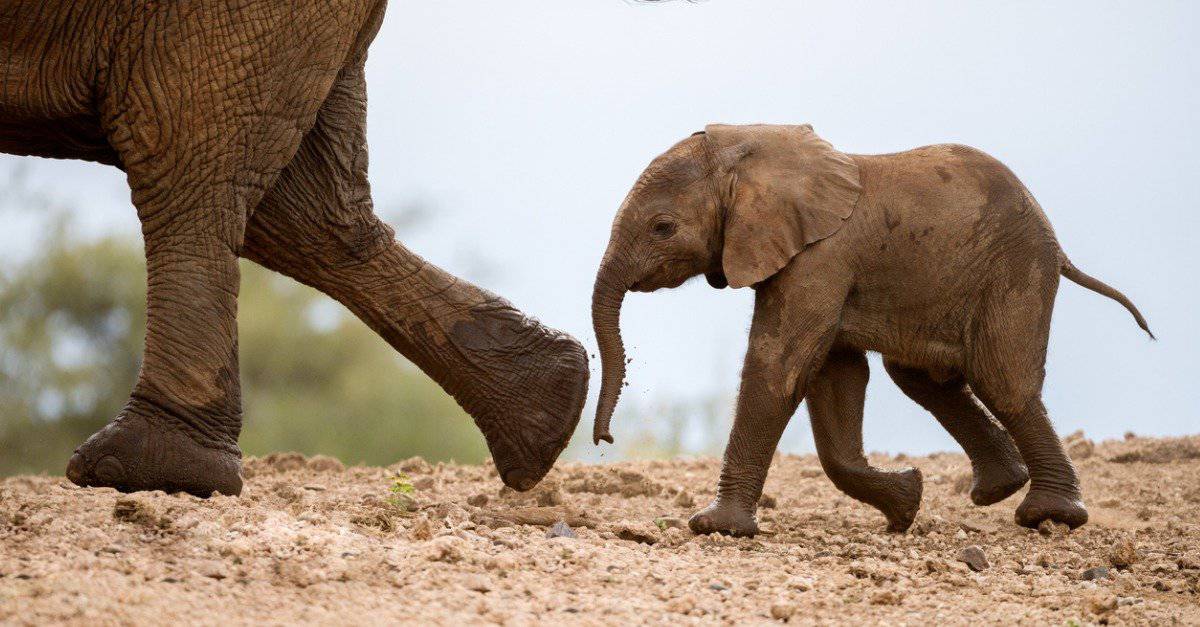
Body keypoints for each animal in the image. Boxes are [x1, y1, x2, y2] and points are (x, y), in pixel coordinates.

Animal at [590, 124, 1152, 533]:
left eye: (663, 228)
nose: (605, 439)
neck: (749, 151)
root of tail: (1057, 244)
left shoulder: (819, 258)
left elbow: (779, 366)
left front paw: (716, 528)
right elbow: (833, 376)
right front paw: (906, 503)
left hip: (1015, 272)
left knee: (1003, 382)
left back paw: (1048, 517)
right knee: (923, 380)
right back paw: (997, 490)